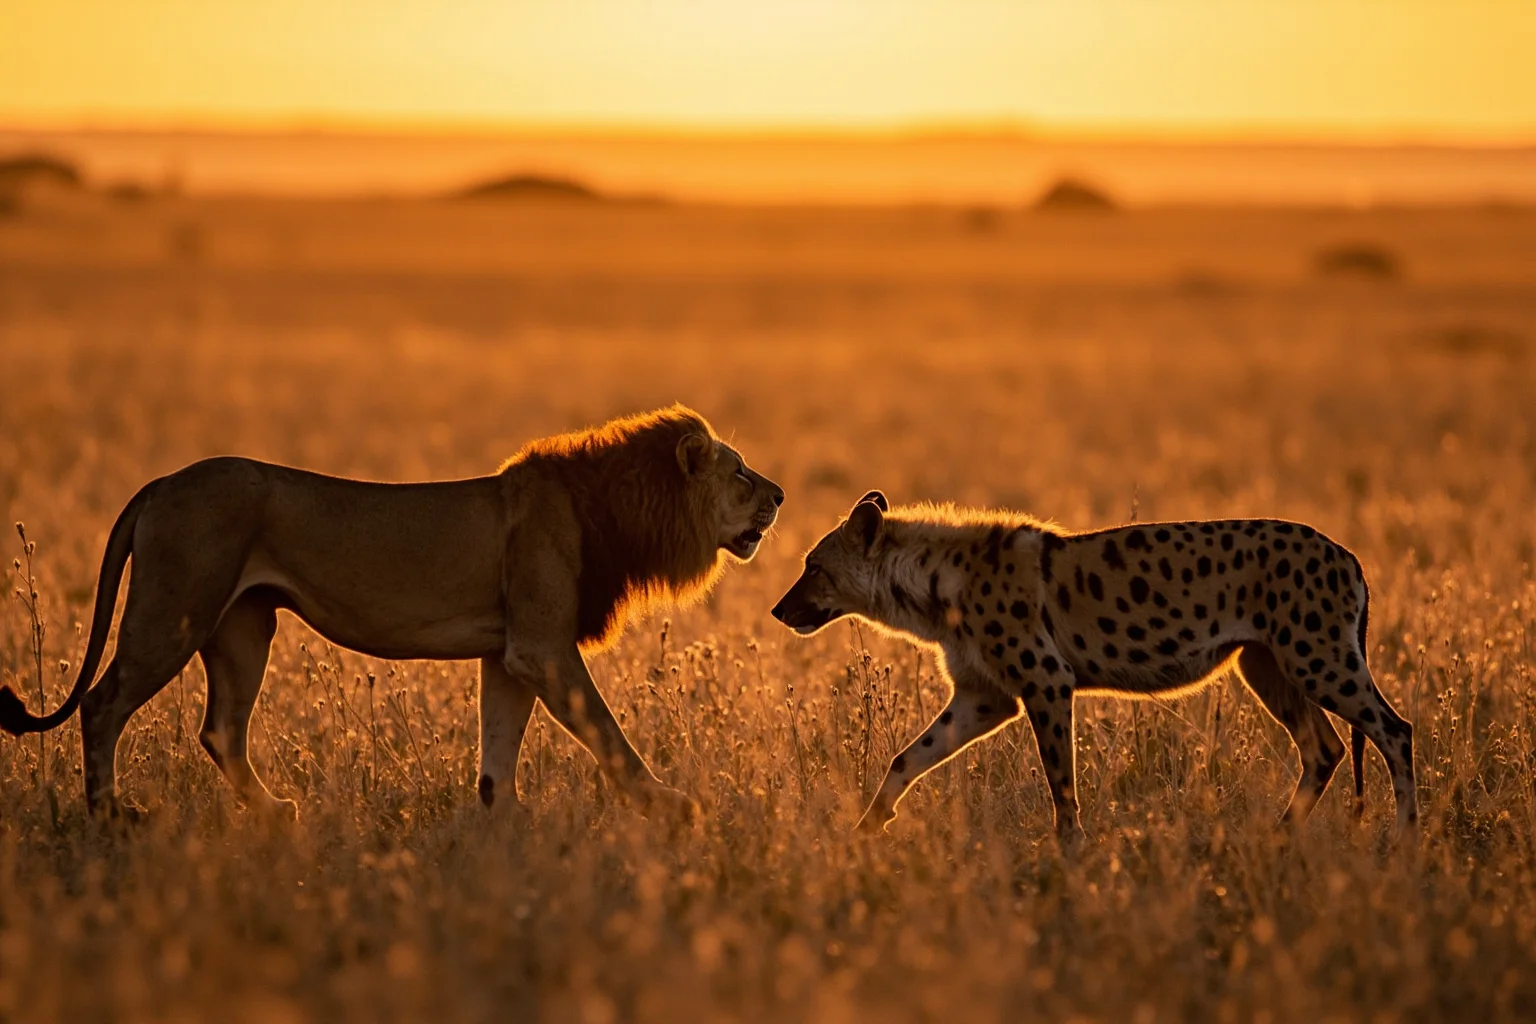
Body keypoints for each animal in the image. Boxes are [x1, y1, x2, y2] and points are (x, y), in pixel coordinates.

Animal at [0, 405, 784, 821]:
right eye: (741, 474)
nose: (779, 496)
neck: (610, 507)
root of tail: (160, 482)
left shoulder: (510, 654)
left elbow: (499, 752)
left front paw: (503, 825)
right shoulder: (542, 646)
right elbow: (609, 733)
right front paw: (671, 806)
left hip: (243, 626)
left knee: (220, 730)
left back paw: (274, 814)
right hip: (175, 611)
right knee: (102, 703)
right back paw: (110, 815)